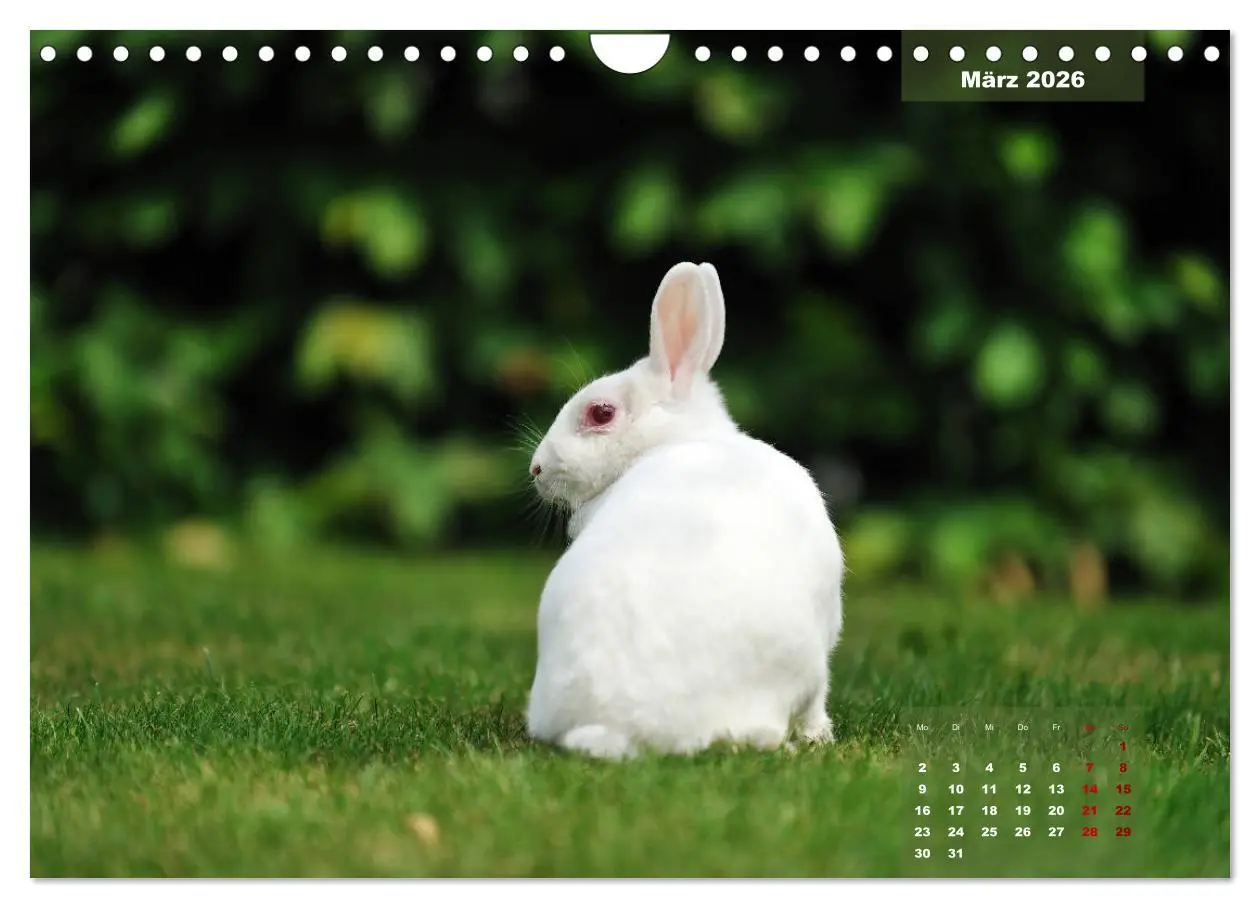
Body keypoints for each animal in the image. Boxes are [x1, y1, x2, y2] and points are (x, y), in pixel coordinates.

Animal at [525, 261, 845, 760]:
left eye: (600, 413)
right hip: (804, 665)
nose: (536, 468)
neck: (676, 440)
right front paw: (820, 736)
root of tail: (613, 725)